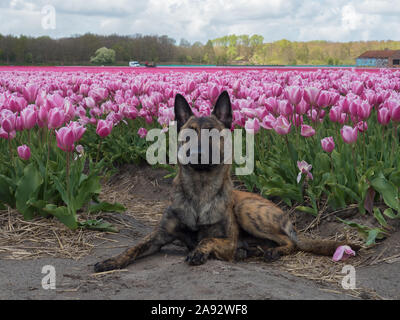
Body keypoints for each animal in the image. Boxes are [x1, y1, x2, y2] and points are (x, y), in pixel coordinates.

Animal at [94, 90, 360, 272]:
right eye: (188, 135)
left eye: (212, 134)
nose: (198, 153)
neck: (200, 190)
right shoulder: (158, 236)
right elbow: (134, 247)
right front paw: (111, 260)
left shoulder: (228, 241)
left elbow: (208, 238)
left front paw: (199, 251)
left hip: (247, 210)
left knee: (290, 243)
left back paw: (273, 251)